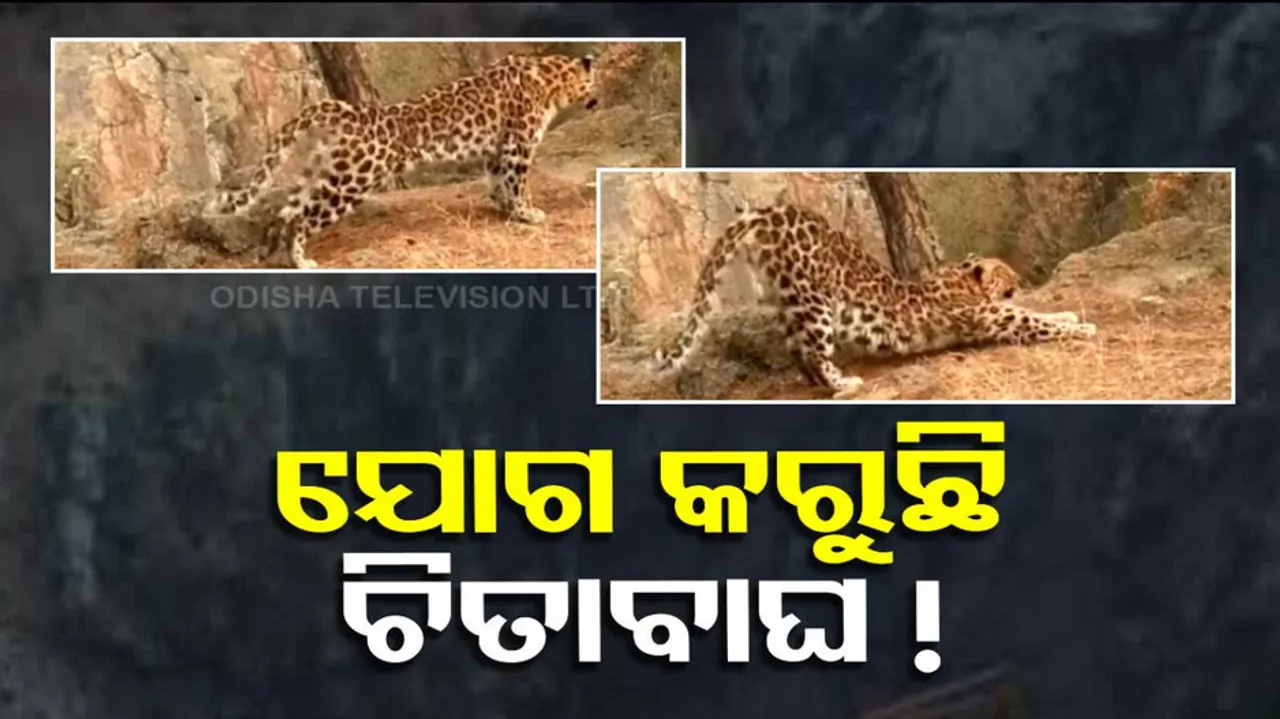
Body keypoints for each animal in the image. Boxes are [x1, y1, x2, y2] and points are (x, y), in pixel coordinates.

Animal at [209, 52, 598, 269]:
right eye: (594, 82)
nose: (598, 98)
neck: (551, 79)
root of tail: (350, 112)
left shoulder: (497, 149)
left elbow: (497, 180)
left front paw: (505, 209)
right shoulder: (518, 145)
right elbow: (518, 183)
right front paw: (527, 213)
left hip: (323, 173)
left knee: (285, 211)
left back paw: (274, 256)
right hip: (350, 183)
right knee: (302, 218)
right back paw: (302, 262)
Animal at [652, 203, 1097, 399]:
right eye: (1004, 272)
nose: (1019, 278)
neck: (961, 281)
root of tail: (768, 211)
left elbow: (1038, 312)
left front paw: (1071, 313)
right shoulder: (992, 318)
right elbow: (1033, 320)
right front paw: (1083, 326)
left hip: (788, 297)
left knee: (795, 348)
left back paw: (822, 385)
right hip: (815, 301)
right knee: (813, 350)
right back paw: (844, 384)